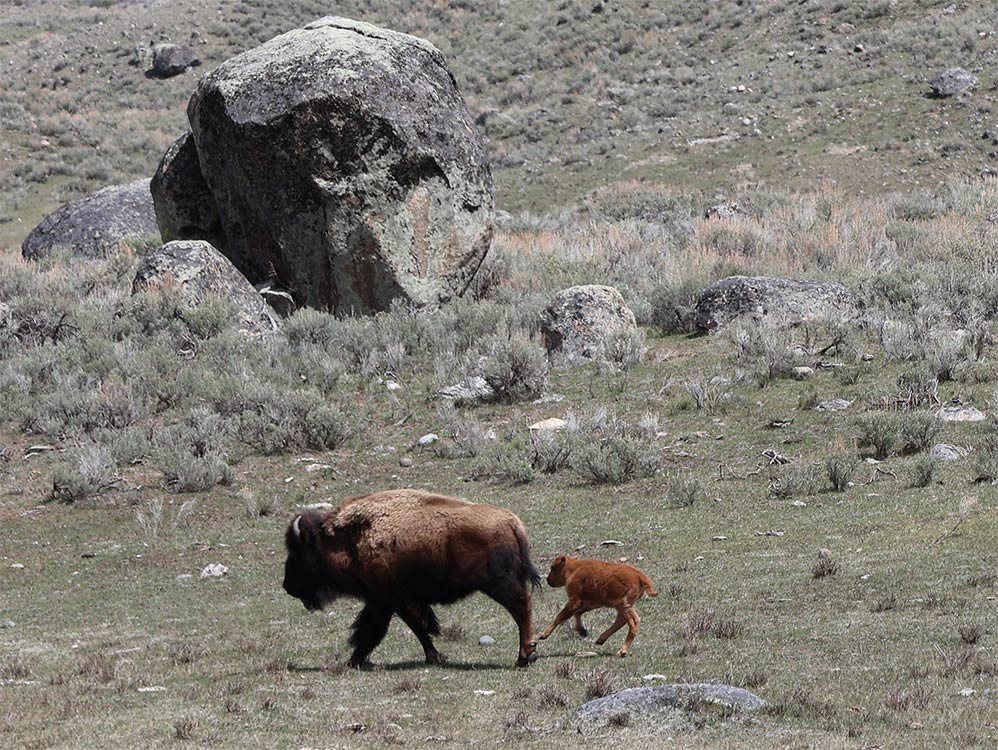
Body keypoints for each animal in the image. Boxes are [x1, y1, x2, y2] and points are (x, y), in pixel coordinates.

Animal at [283, 489, 541, 667]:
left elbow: (407, 627)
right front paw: (354, 660)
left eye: (296, 553)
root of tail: (512, 523)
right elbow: (373, 630)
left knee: (521, 609)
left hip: (499, 584)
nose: (287, 585)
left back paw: (524, 656)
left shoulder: (392, 599)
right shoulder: (381, 600)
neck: (350, 539)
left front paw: (433, 657)